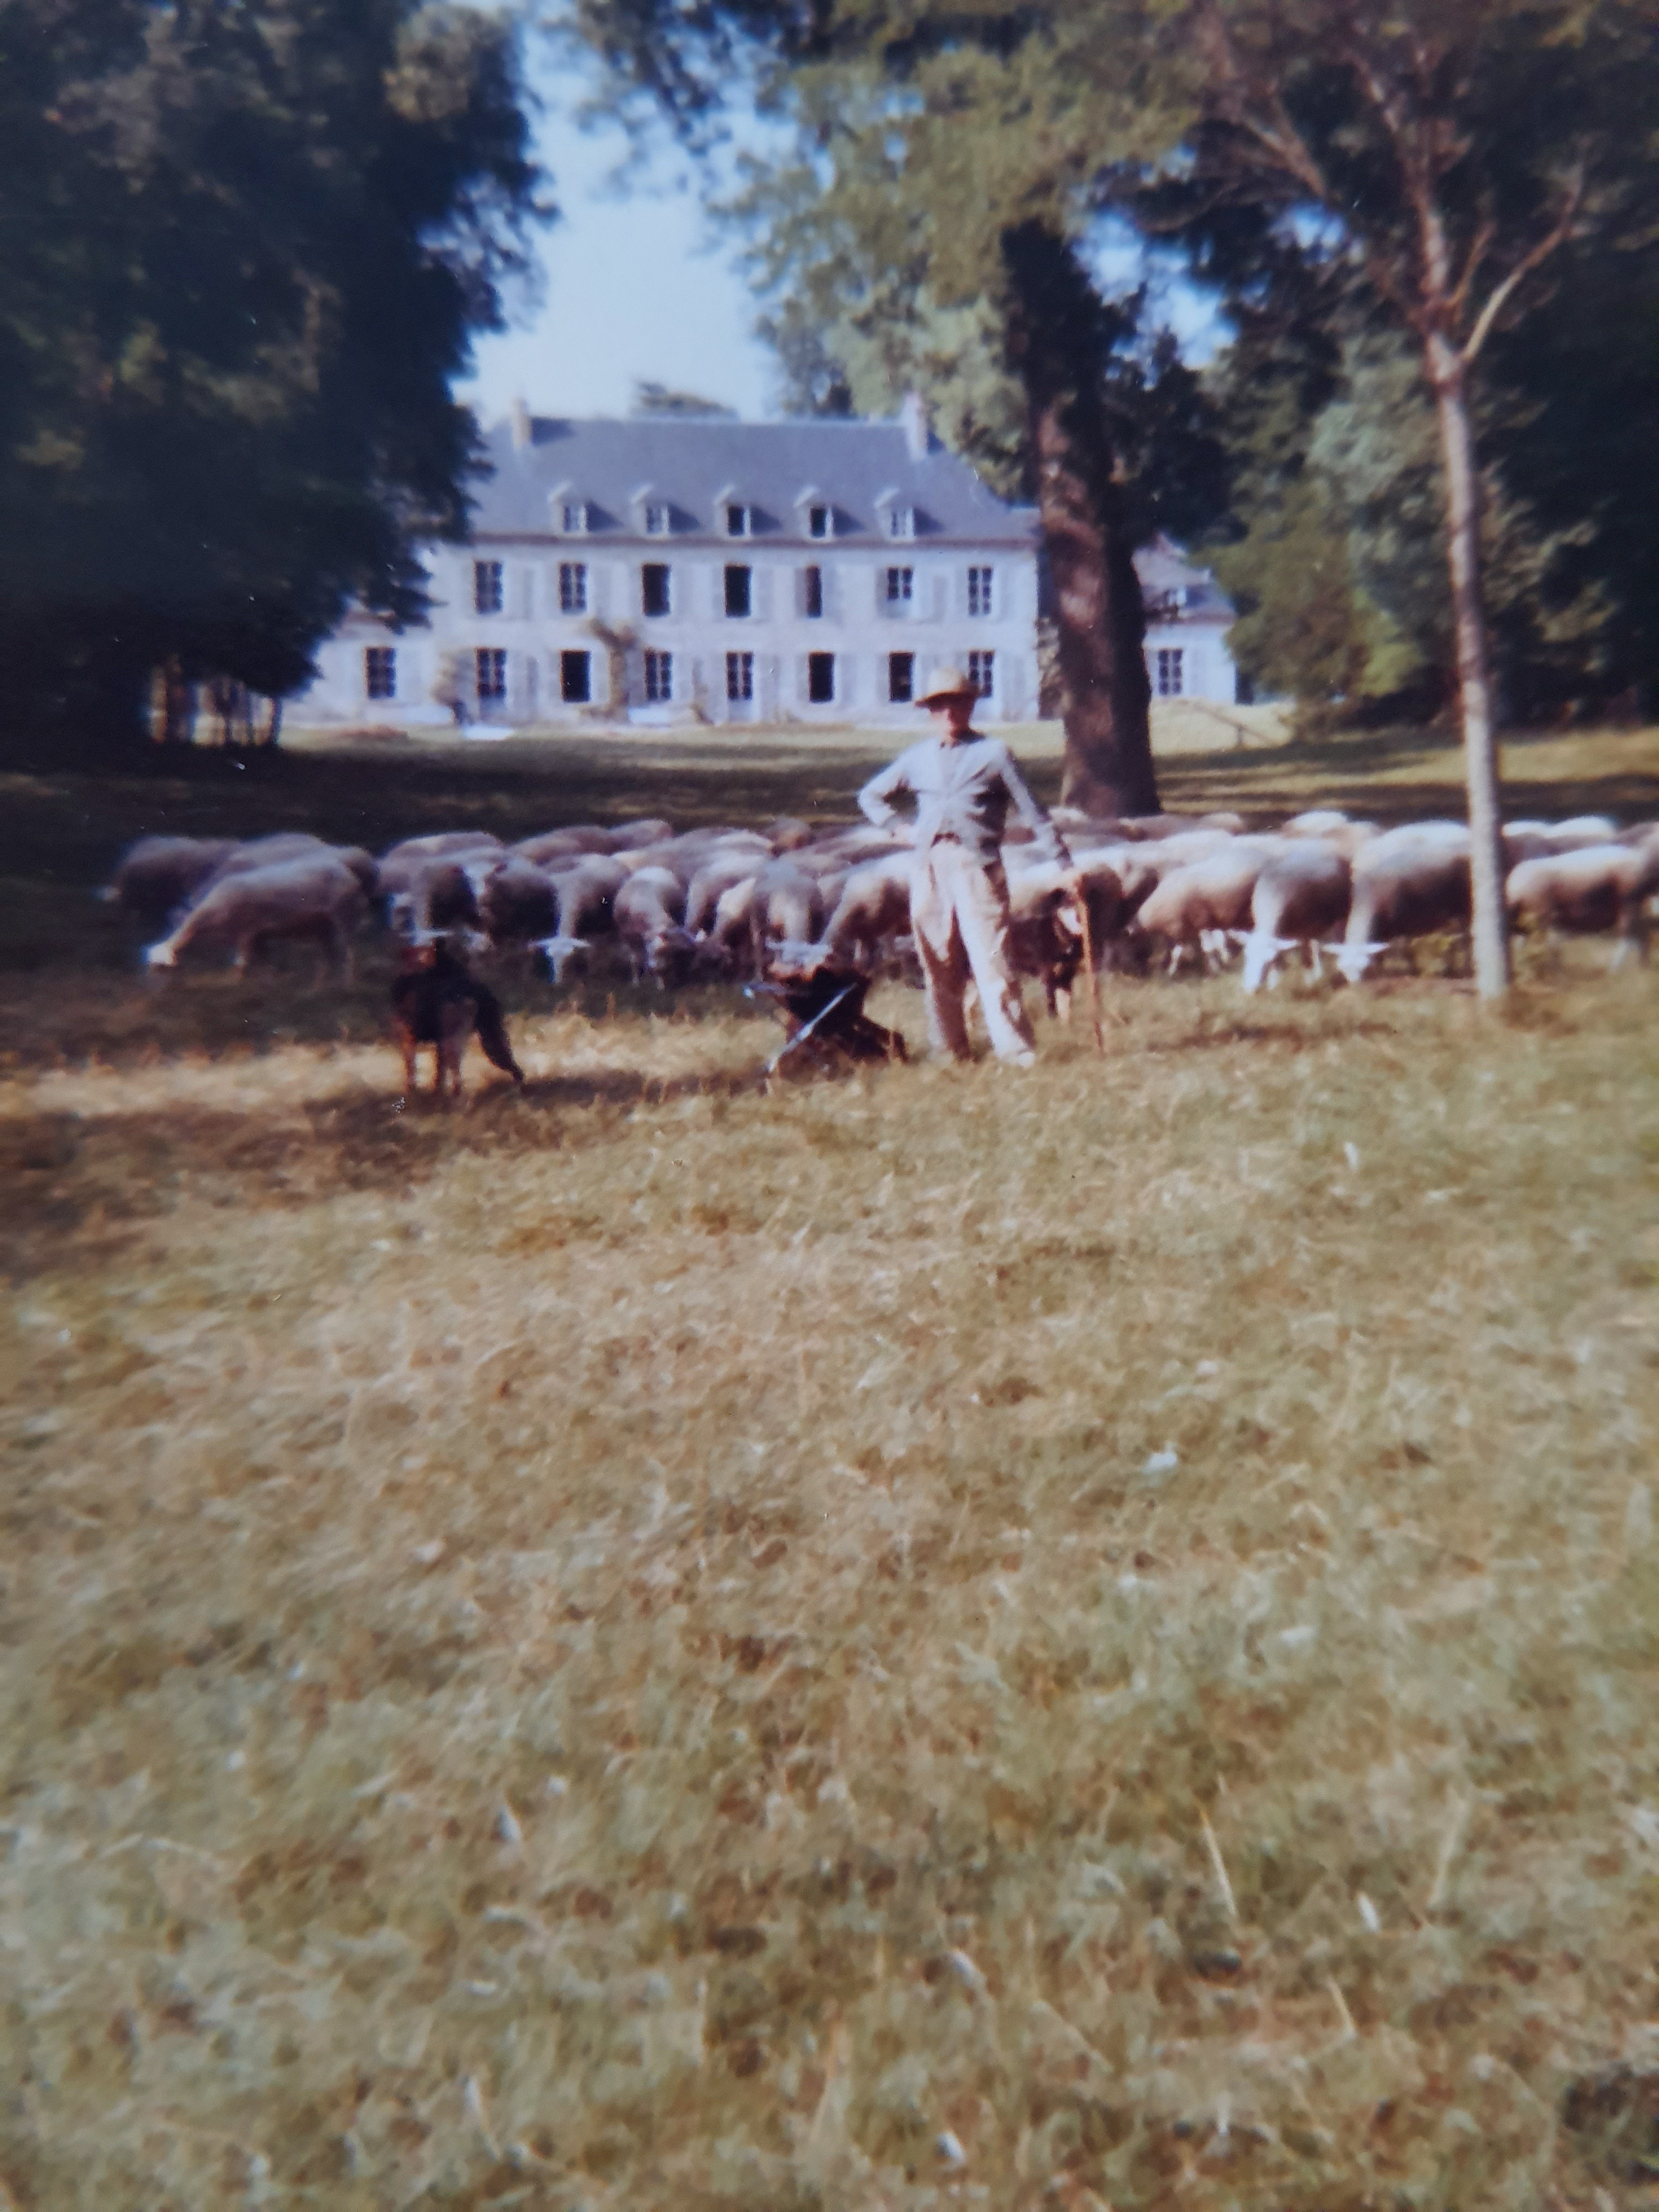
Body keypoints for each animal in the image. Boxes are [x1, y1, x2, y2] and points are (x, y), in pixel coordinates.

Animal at [391, 938, 526, 1101]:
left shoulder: (408, 1035)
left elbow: (412, 1070)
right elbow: (438, 1073)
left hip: (456, 1038)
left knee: (456, 1071)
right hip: (491, 1038)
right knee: (513, 1066)